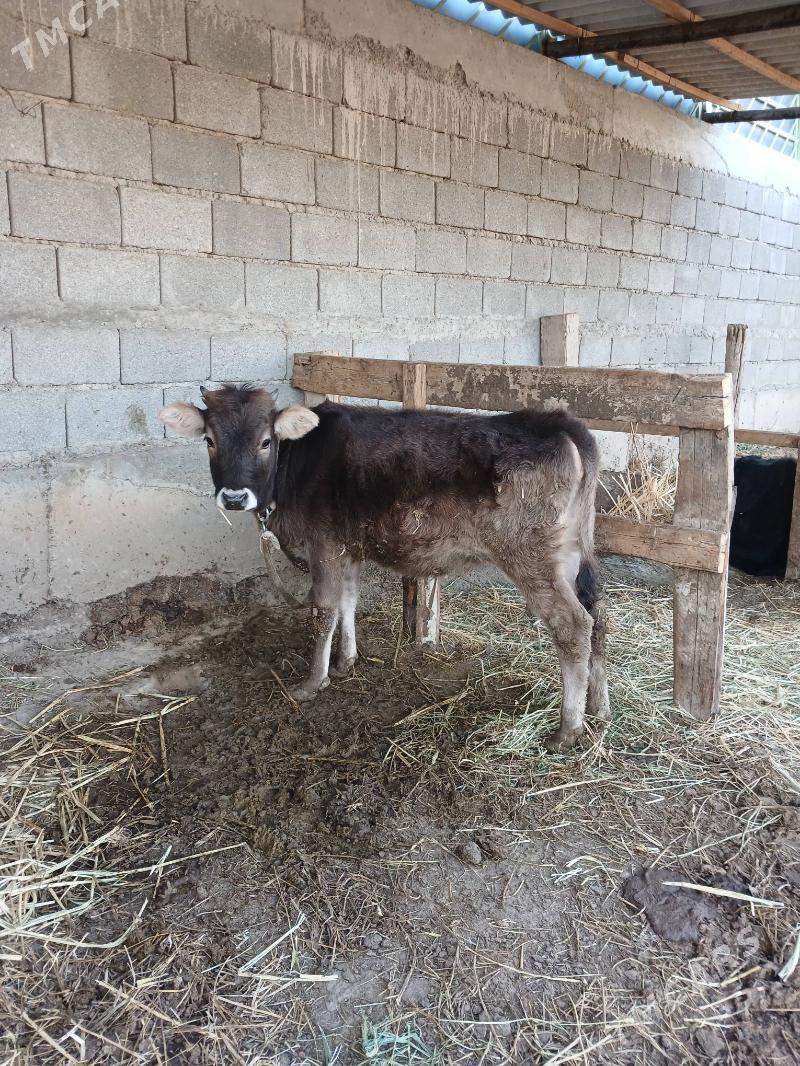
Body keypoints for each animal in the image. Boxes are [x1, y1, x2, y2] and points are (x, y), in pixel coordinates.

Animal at [158, 386, 609, 751]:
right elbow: (348, 602)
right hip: (572, 552)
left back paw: (567, 730)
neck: (295, 469)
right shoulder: (347, 548)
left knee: (573, 626)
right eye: (210, 440)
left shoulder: (324, 545)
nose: (235, 497)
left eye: (266, 441)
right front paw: (346, 662)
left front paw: (312, 683)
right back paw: (599, 710)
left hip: (531, 554)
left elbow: (323, 607)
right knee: (598, 615)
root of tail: (558, 424)